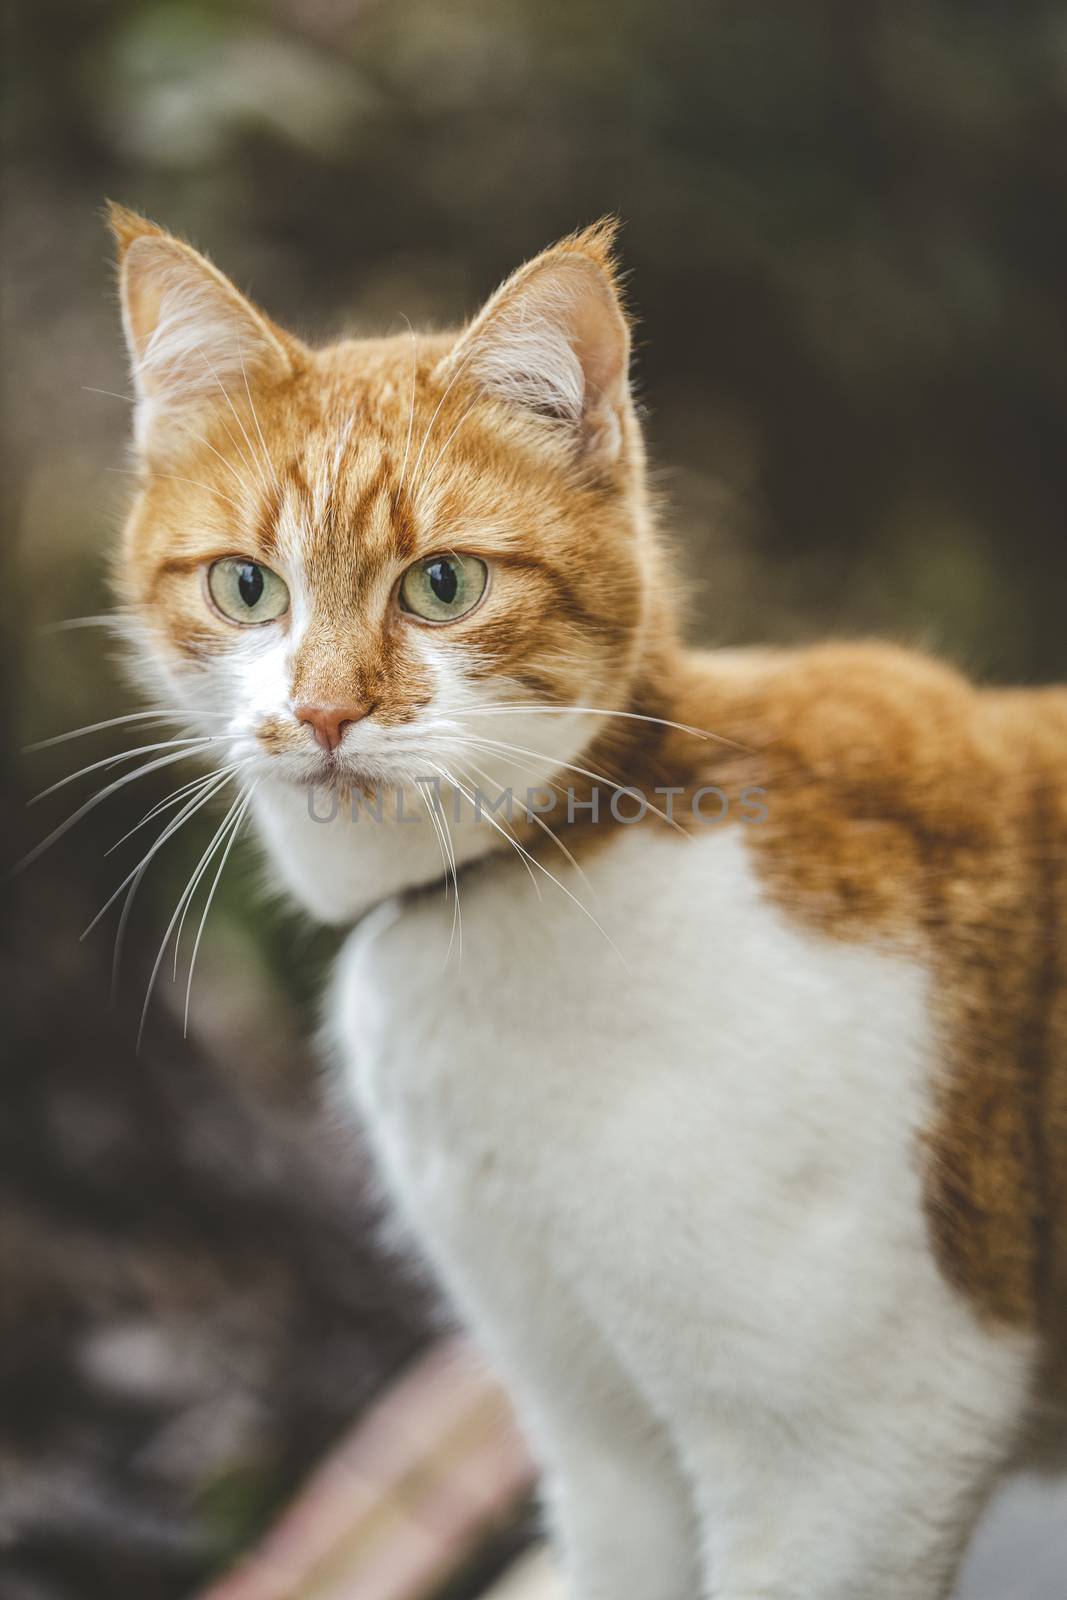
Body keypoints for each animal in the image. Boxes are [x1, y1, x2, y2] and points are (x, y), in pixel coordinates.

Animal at [110, 203, 1067, 1600]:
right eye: (247, 587)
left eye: (442, 585)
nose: (326, 712)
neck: (548, 867)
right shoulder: (593, 1434)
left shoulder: (848, 1459)